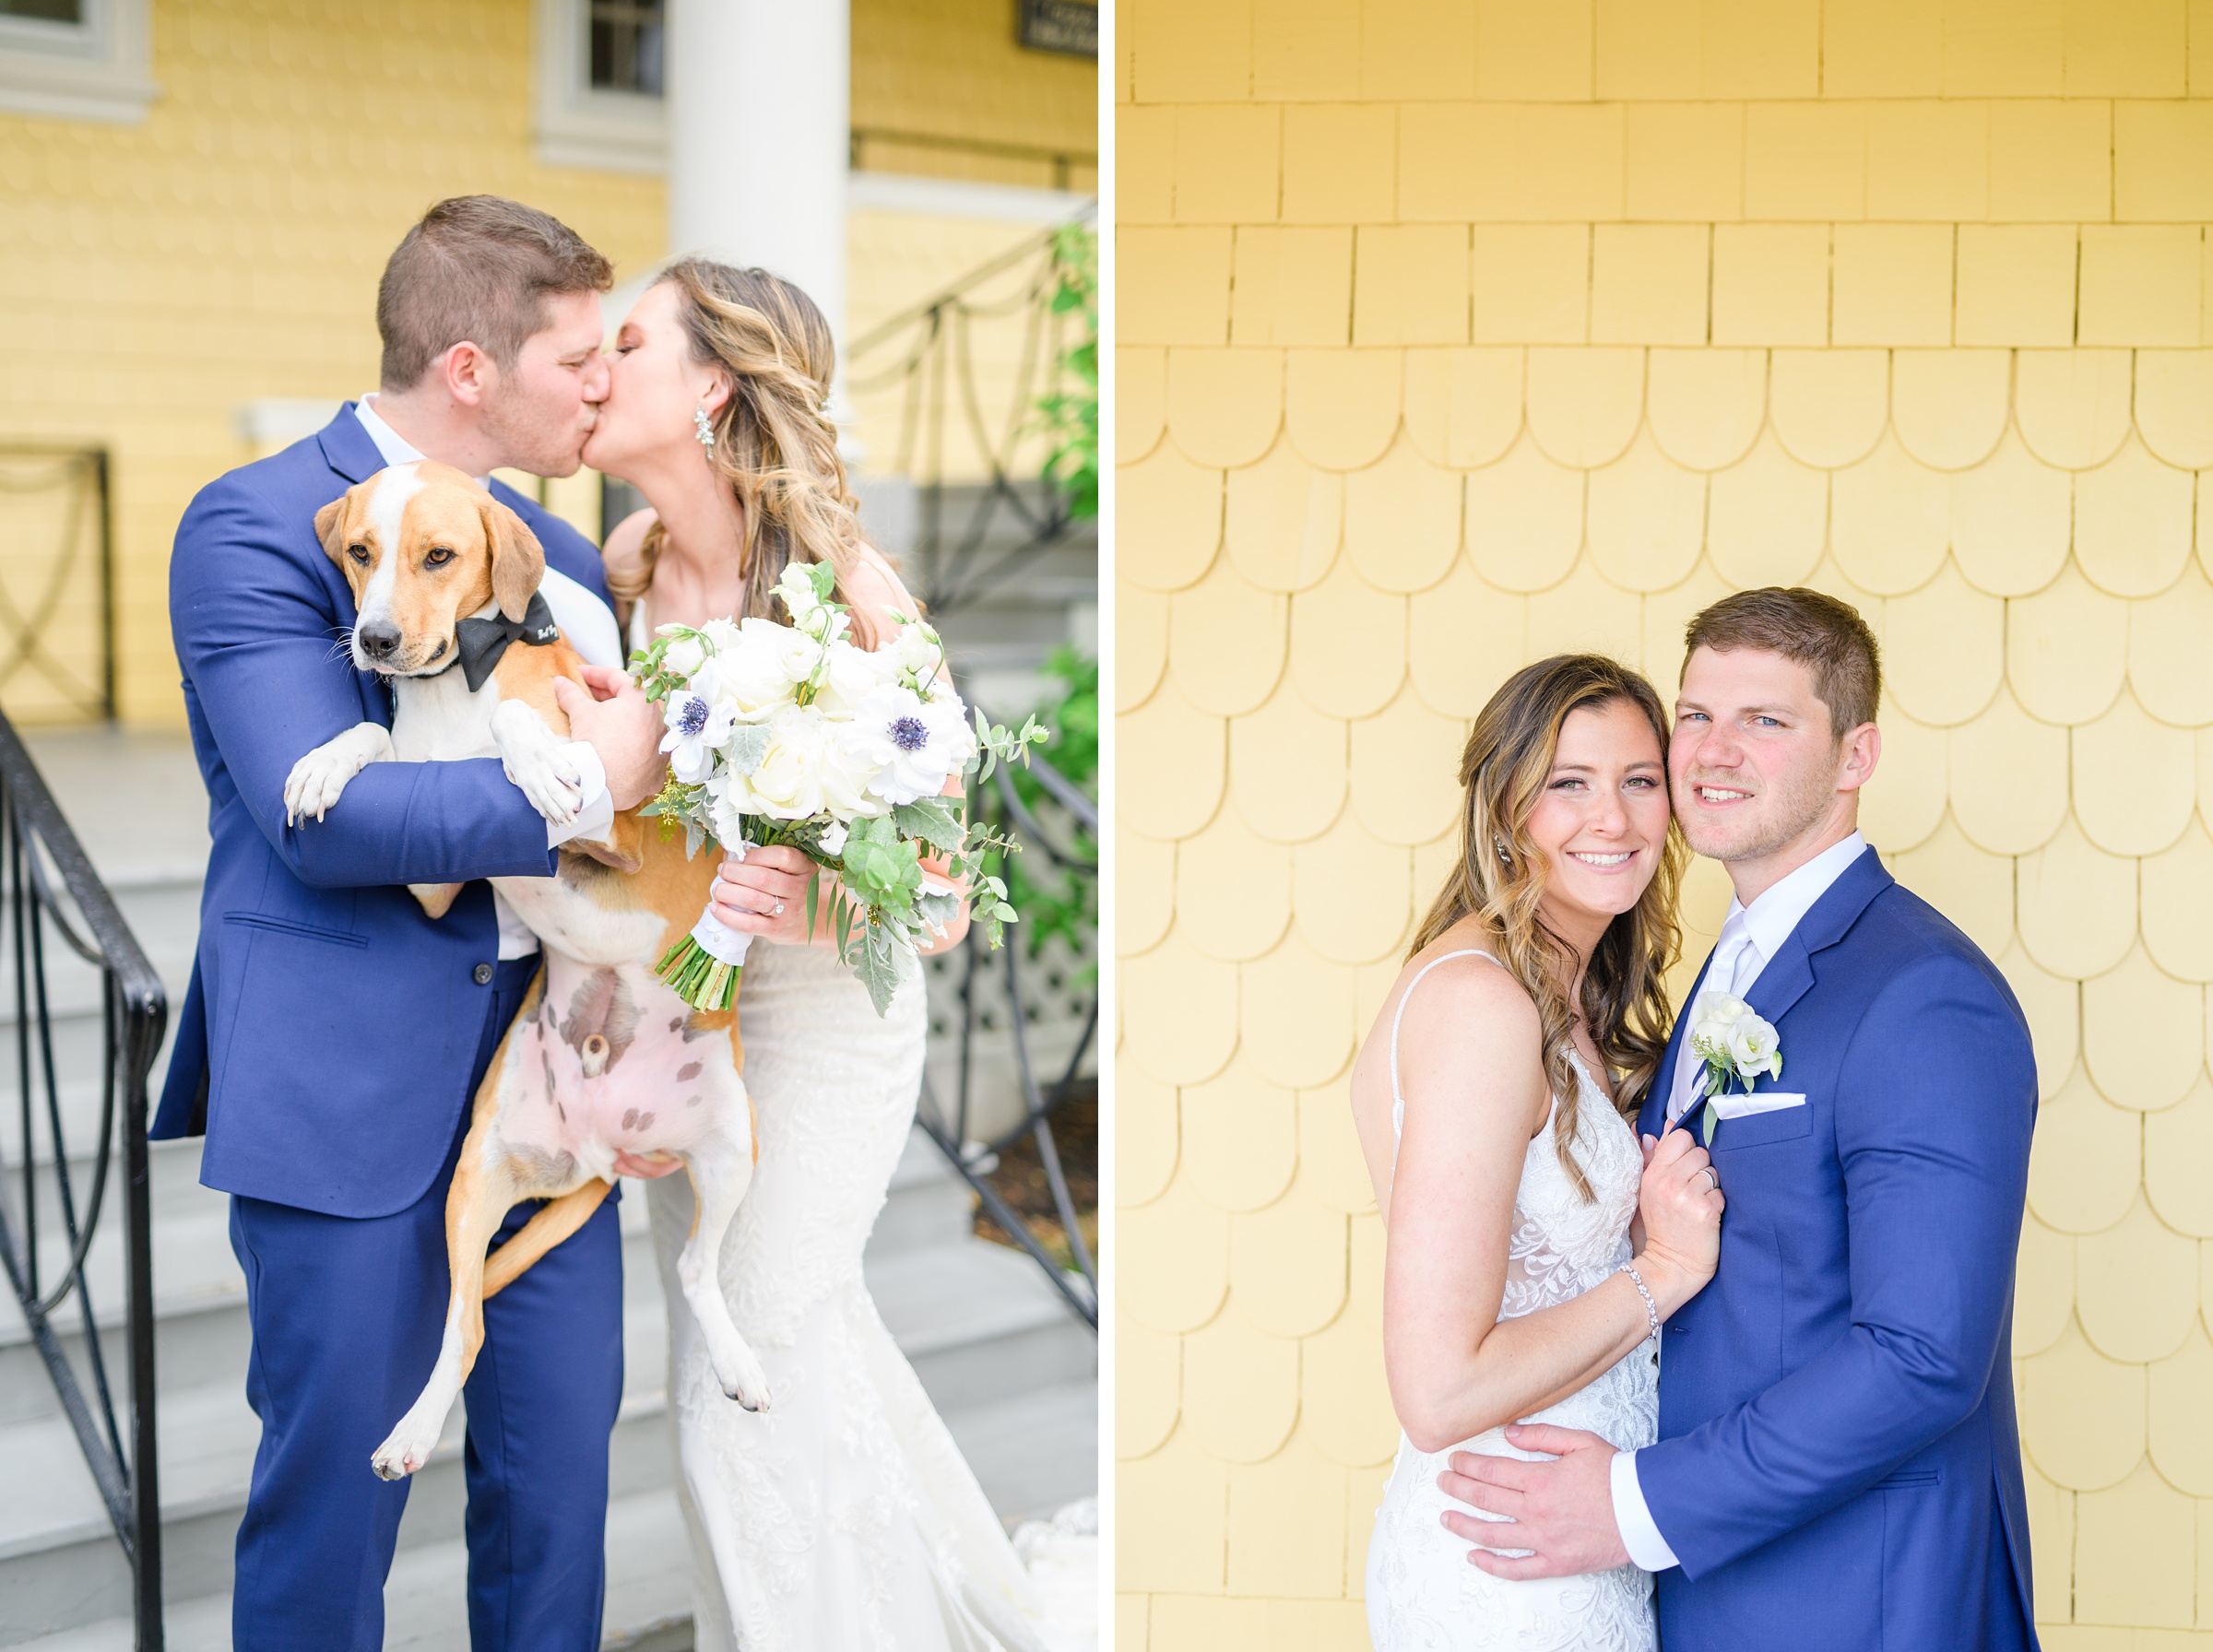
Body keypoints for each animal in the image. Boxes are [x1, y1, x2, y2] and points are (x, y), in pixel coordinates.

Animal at [288, 462, 770, 1486]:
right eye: (360, 552)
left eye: (439, 555)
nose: (375, 642)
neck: (451, 694)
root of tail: (603, 1154)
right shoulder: (430, 875)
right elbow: (378, 745)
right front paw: (325, 760)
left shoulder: (619, 831)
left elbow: (525, 725)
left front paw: (544, 760)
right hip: (477, 1180)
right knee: (465, 1327)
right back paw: (409, 1433)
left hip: (731, 1143)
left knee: (696, 1270)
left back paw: (740, 1364)